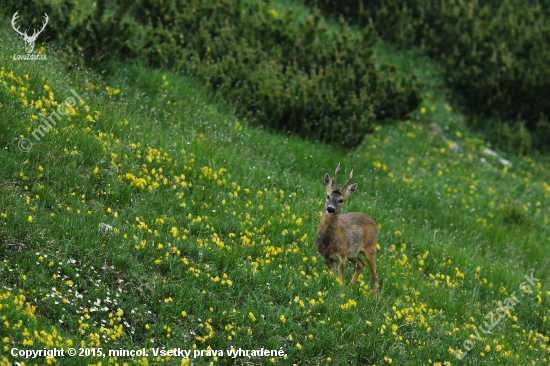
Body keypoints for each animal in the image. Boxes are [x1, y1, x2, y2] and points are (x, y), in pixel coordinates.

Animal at [316, 163, 382, 294]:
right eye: (328, 196)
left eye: (341, 200)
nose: (330, 208)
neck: (328, 242)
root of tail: (374, 222)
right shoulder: (326, 257)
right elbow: (335, 278)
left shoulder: (341, 256)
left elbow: (341, 280)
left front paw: (341, 294)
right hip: (353, 253)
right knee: (361, 264)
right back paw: (351, 287)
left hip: (371, 249)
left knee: (376, 278)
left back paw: (374, 298)